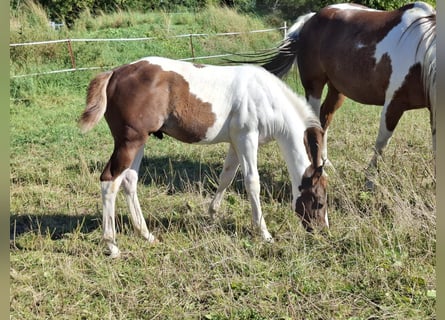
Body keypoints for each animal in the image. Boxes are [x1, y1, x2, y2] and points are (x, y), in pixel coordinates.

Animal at [78, 57, 326, 258]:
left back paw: (146, 235)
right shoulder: (247, 139)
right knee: (110, 181)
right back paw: (112, 245)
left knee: (129, 180)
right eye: (320, 202)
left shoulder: (235, 143)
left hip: (139, 141)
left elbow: (226, 177)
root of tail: (114, 74)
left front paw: (212, 216)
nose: (321, 231)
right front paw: (264, 233)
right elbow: (252, 182)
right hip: (129, 142)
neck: (264, 97)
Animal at [250, 1, 438, 172]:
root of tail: (312, 18)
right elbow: (381, 145)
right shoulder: (393, 104)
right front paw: (370, 181)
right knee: (314, 125)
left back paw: (326, 163)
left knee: (324, 119)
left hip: (337, 90)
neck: (422, 54)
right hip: (314, 87)